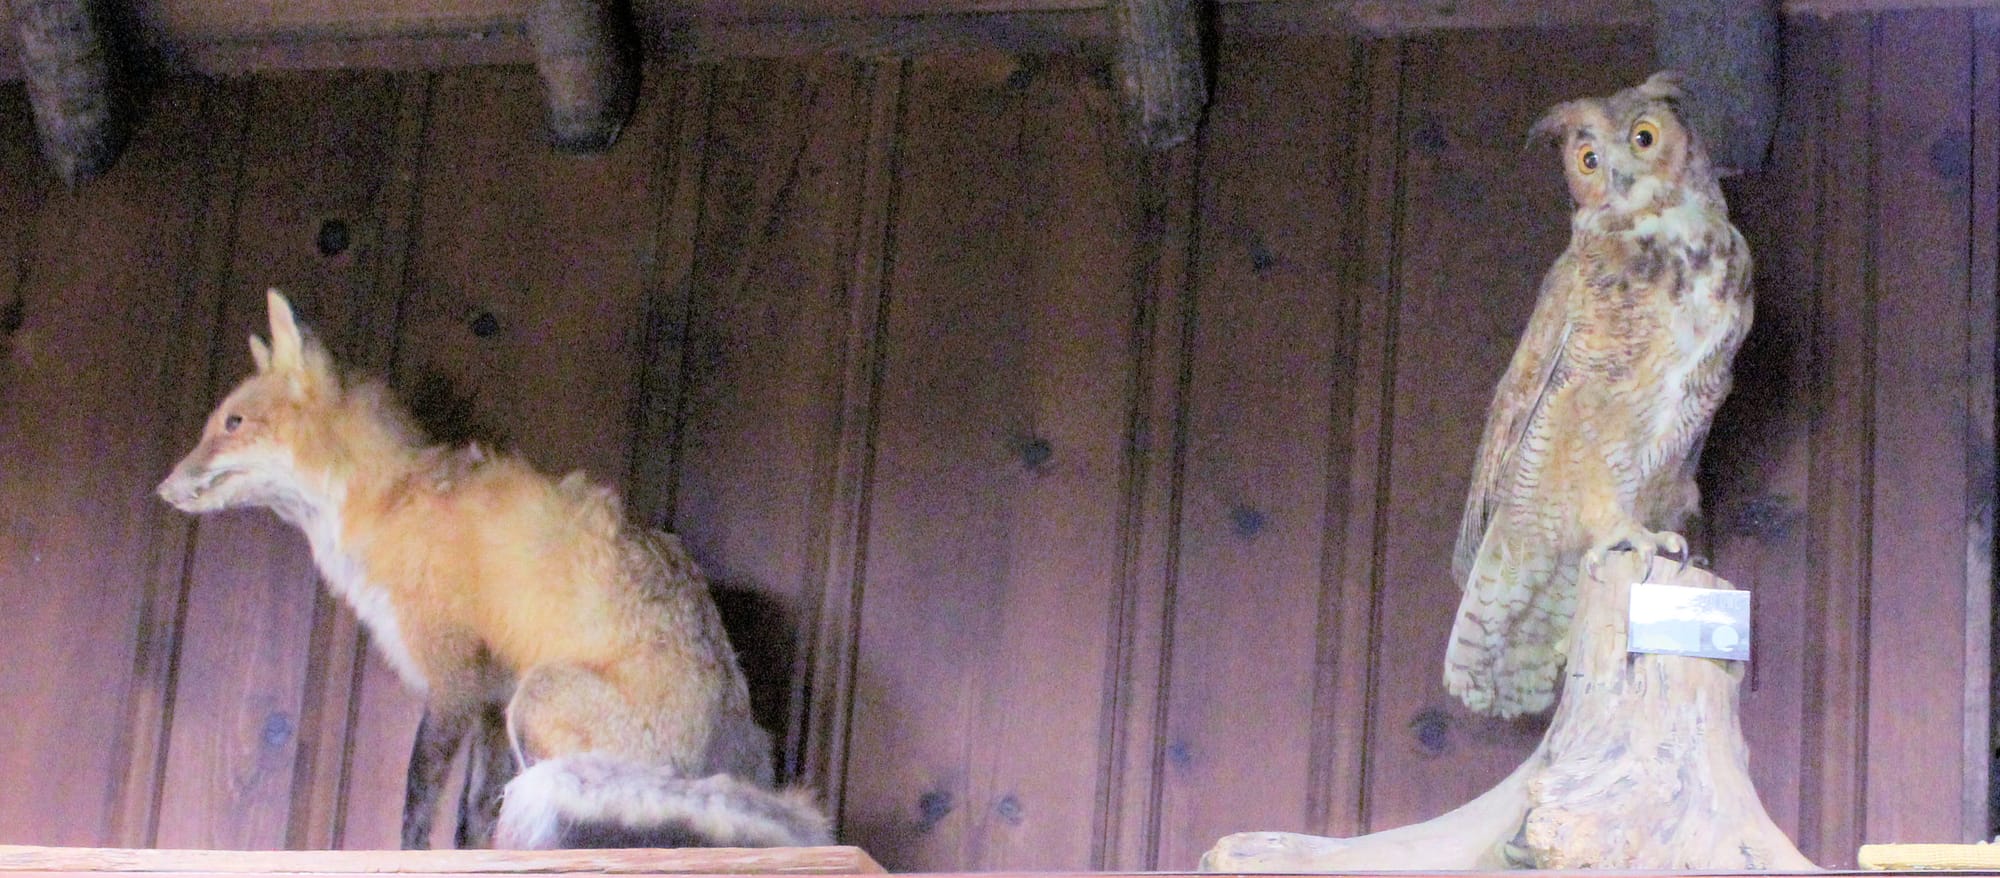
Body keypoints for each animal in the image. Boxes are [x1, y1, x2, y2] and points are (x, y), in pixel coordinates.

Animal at [157, 289, 829, 850]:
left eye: (232, 424)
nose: (161, 488)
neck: (391, 501)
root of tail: (735, 758)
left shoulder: (453, 677)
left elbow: (419, 794)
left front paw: (406, 857)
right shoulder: (489, 696)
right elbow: (473, 813)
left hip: (539, 699)